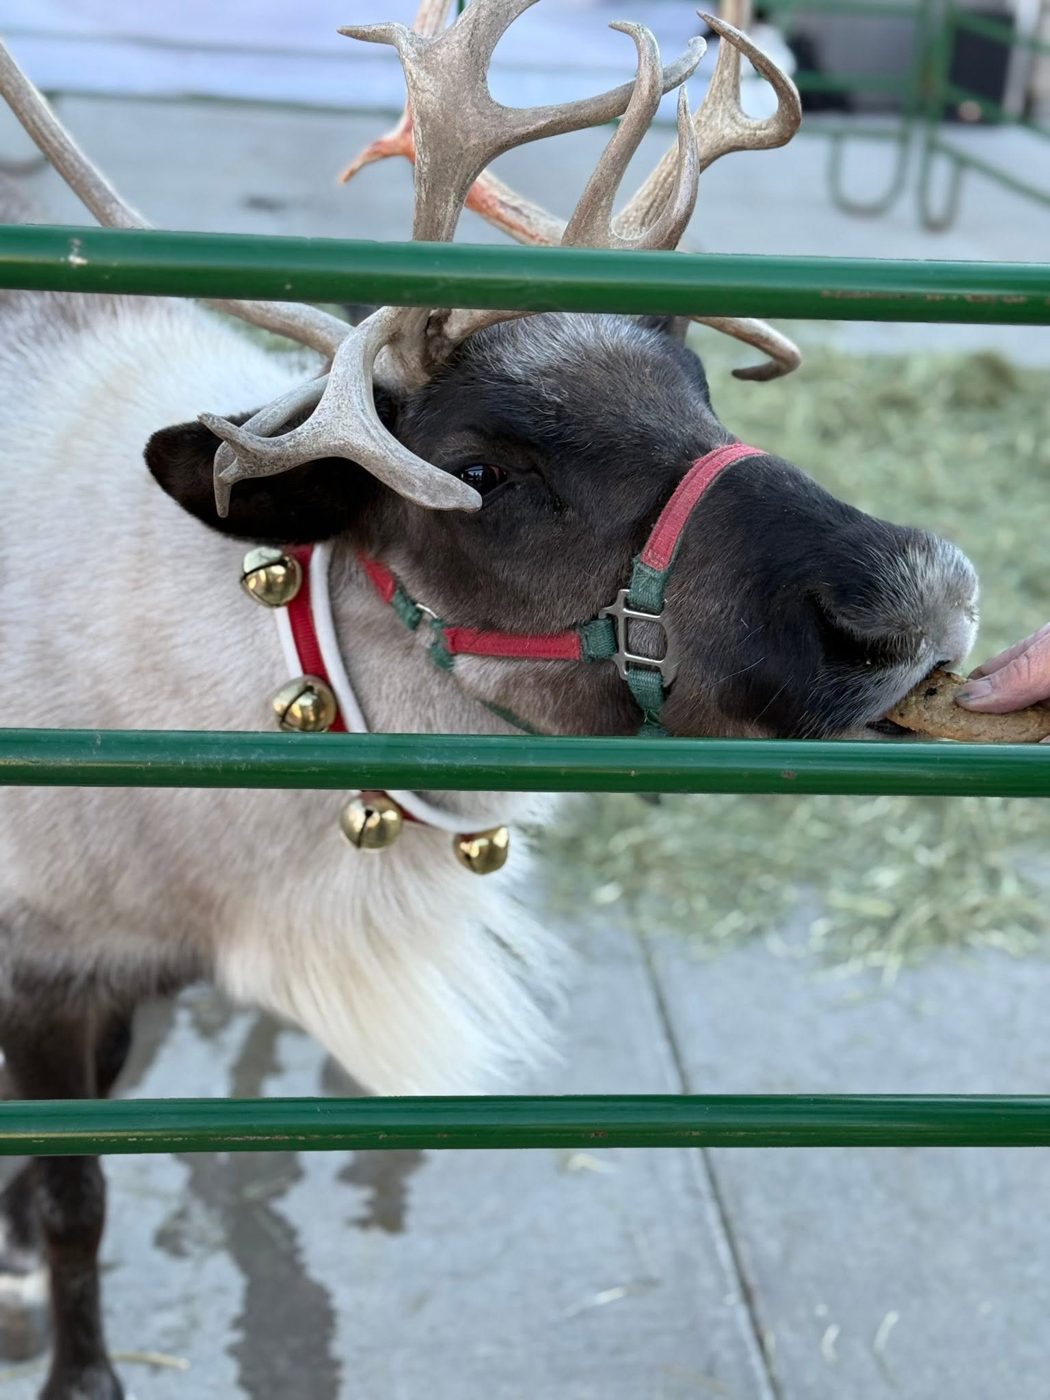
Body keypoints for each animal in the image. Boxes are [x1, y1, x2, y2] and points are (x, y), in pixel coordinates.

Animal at [0, 3, 978, 1396]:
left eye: (700, 394)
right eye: (480, 470)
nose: (918, 590)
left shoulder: (132, 972)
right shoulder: (48, 955)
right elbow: (78, 1191)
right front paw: (77, 1357)